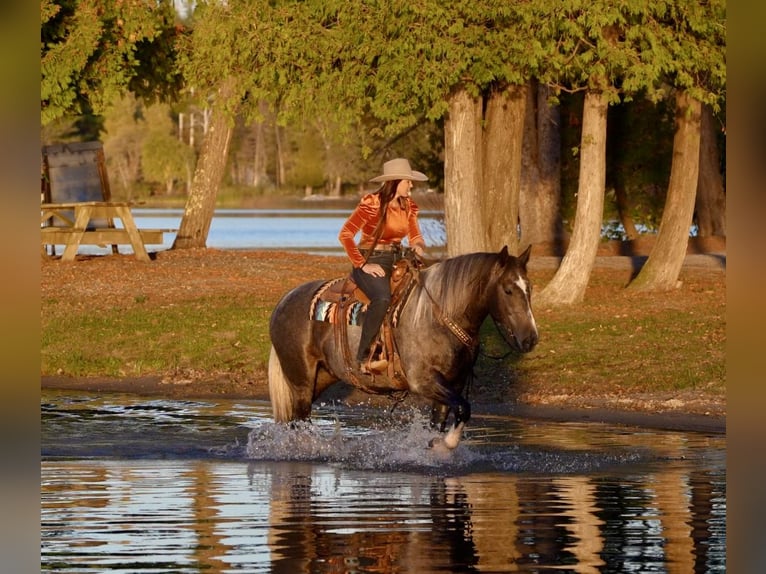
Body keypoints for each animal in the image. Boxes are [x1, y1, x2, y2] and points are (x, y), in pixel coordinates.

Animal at [267, 245, 539, 450]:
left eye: (530, 288)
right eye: (508, 289)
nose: (531, 339)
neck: (438, 316)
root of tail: (284, 301)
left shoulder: (453, 384)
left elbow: (445, 418)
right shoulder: (424, 381)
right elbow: (464, 408)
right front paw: (447, 444)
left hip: (320, 378)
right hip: (301, 381)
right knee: (298, 421)